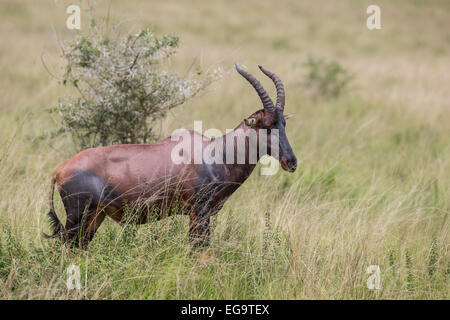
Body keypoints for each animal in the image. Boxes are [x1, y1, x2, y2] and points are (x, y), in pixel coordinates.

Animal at [42, 63, 296, 249]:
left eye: (283, 123)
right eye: (266, 125)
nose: (291, 162)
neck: (216, 152)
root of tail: (59, 170)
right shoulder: (199, 212)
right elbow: (200, 251)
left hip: (95, 217)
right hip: (77, 218)